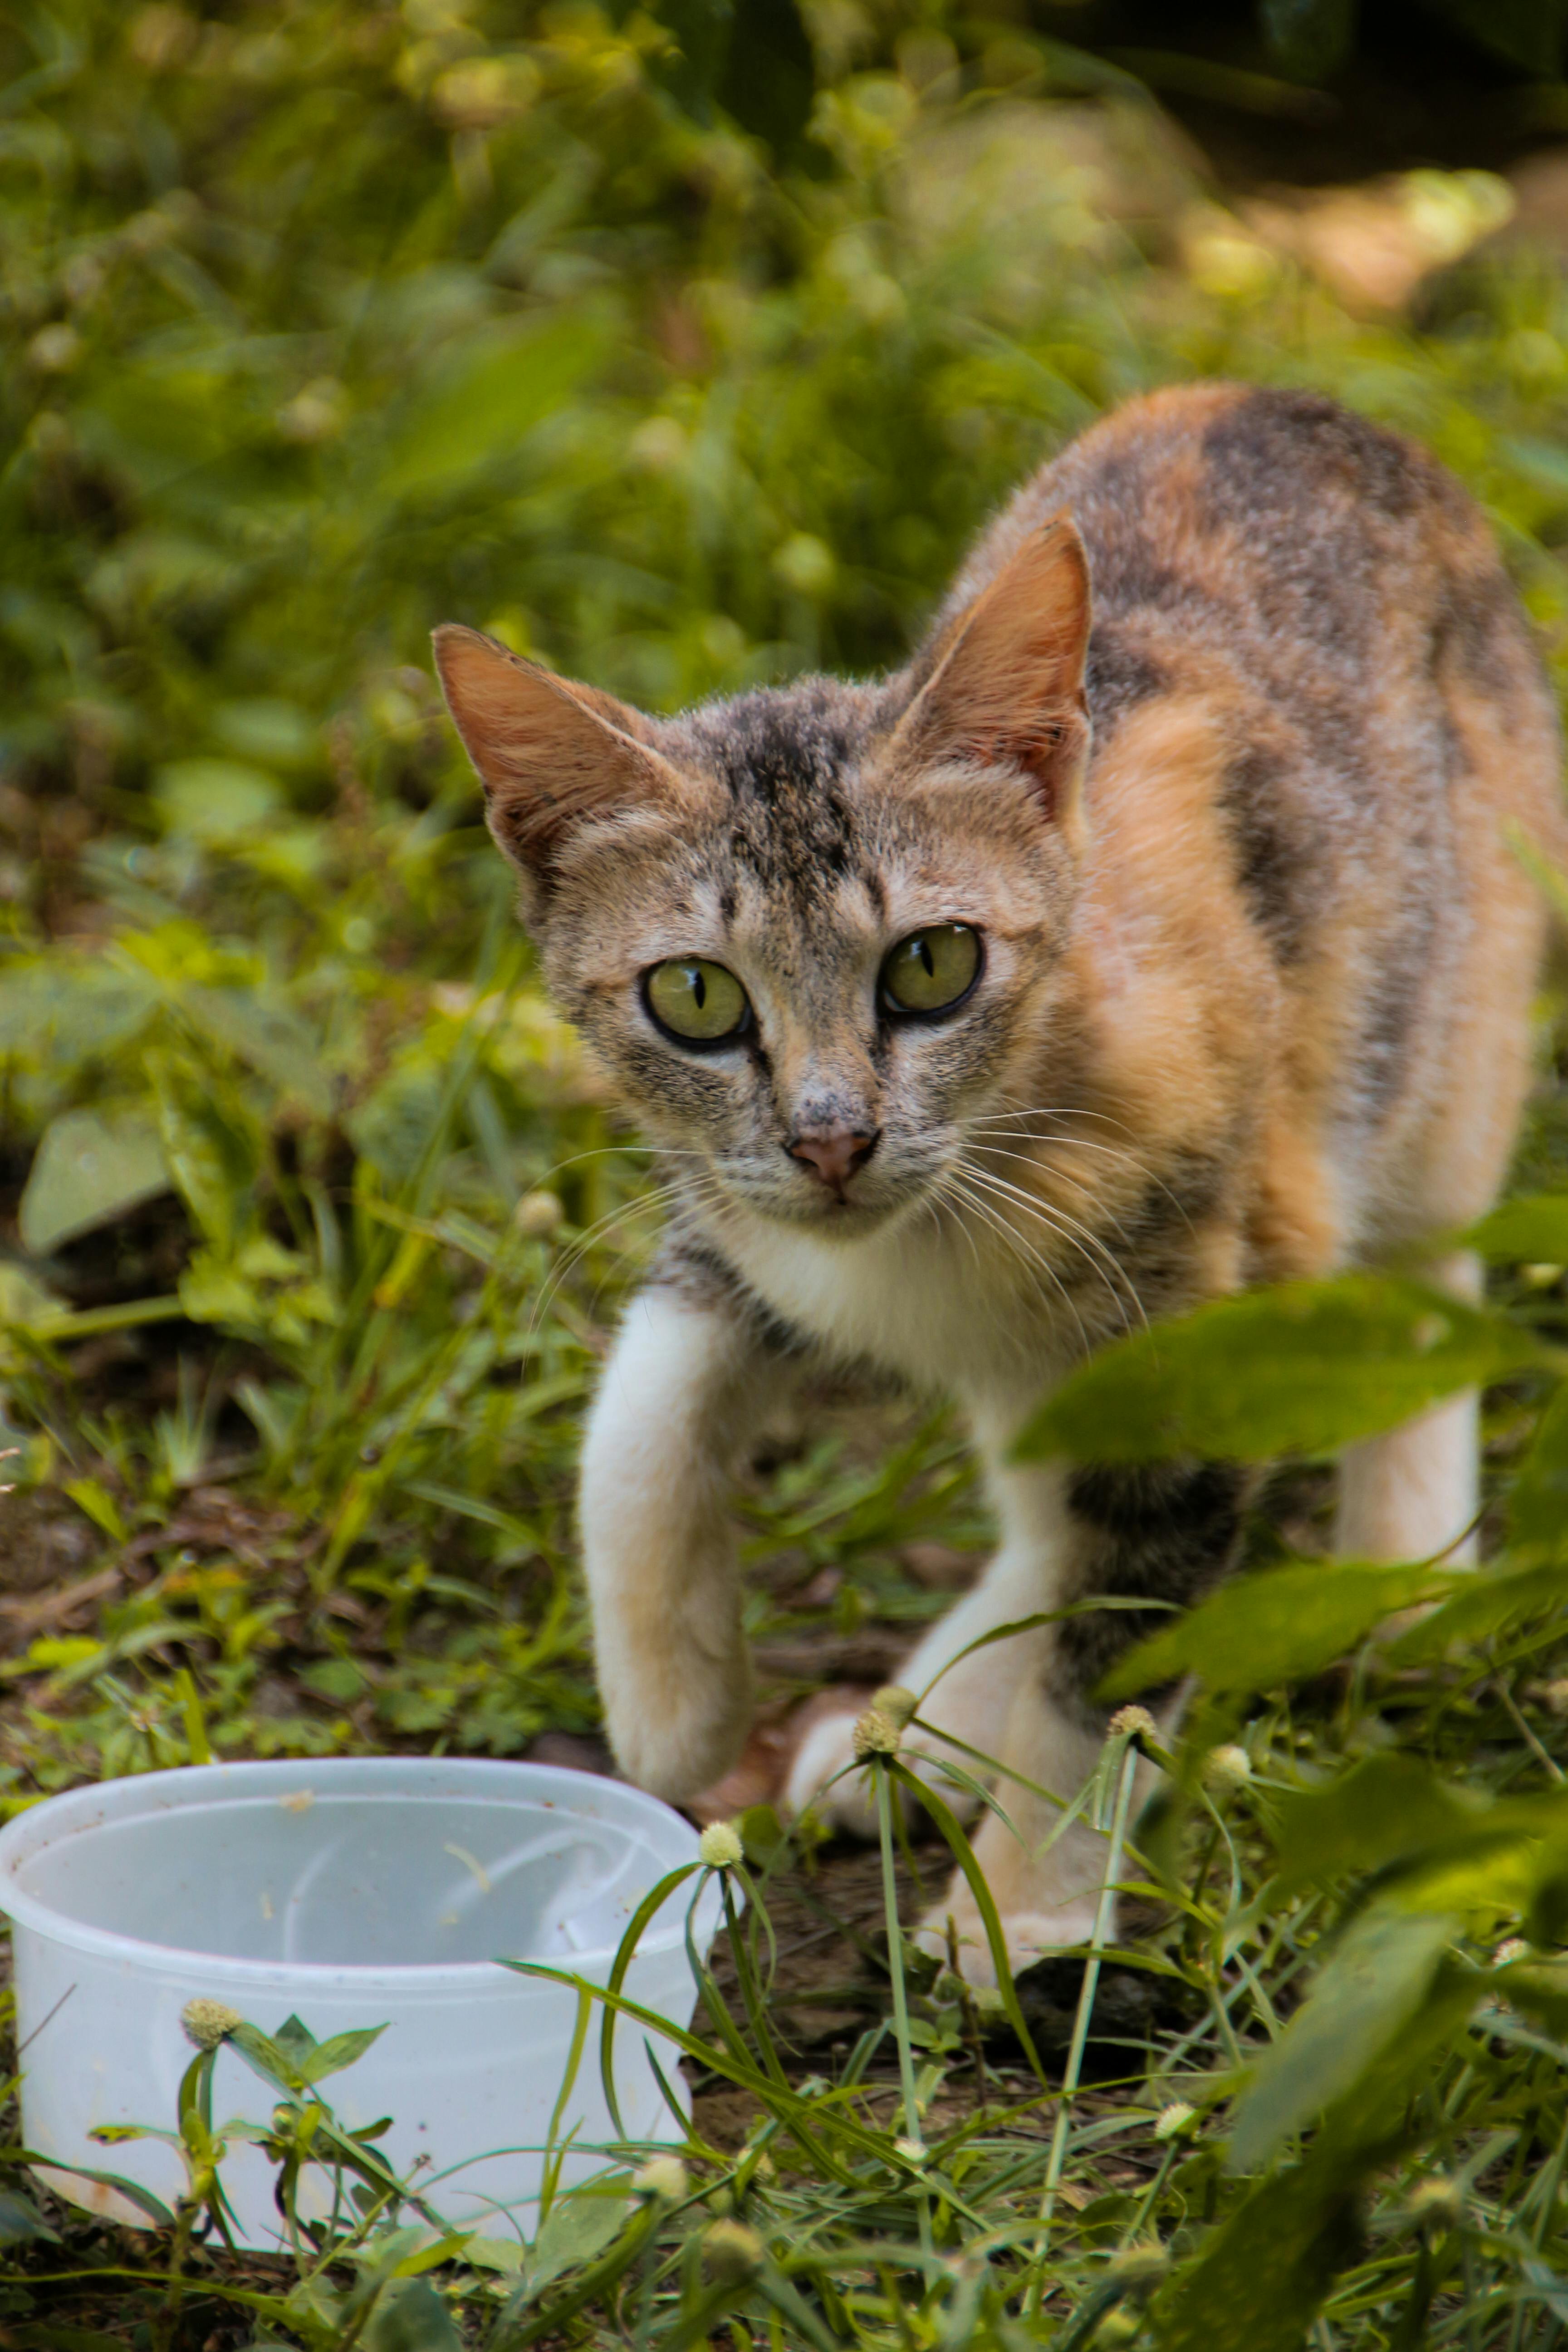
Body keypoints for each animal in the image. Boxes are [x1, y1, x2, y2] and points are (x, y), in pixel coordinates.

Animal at [435, 390, 1561, 1985]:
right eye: (695, 998)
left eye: (931, 964)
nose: (833, 1139)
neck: (956, 1201)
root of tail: (1308, 405)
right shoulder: (740, 1221)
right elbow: (645, 1404)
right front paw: (674, 1703)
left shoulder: (1213, 1304)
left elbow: (1125, 1650)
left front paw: (1028, 1905)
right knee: (1044, 1491)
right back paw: (920, 1725)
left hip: (1445, 1026)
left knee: (1417, 1289)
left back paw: (1400, 1575)